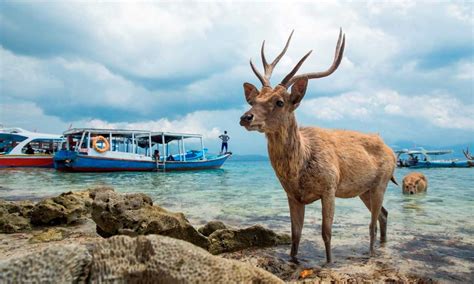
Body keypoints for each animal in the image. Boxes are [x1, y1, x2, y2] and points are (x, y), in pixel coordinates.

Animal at [239, 30, 398, 262]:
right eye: (253, 100)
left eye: (279, 102)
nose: (246, 117)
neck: (299, 169)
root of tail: (392, 151)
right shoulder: (292, 195)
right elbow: (295, 234)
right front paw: (293, 260)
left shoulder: (329, 186)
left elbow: (326, 232)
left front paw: (329, 262)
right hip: (364, 189)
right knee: (383, 215)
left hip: (382, 181)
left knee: (373, 223)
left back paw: (371, 253)